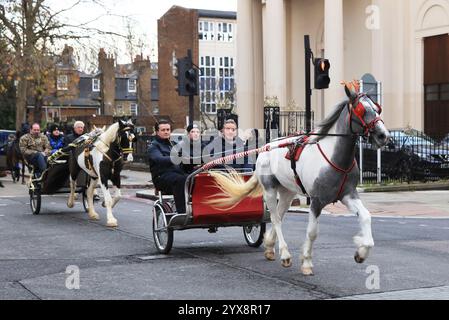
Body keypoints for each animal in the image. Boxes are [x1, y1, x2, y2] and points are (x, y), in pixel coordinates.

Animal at [208, 85, 390, 276]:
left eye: (377, 108)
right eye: (361, 110)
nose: (383, 135)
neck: (334, 157)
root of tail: (266, 148)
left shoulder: (348, 194)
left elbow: (366, 216)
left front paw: (361, 251)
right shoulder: (317, 201)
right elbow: (312, 232)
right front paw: (307, 262)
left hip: (287, 192)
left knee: (280, 215)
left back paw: (270, 246)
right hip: (270, 190)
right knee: (275, 219)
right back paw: (285, 254)